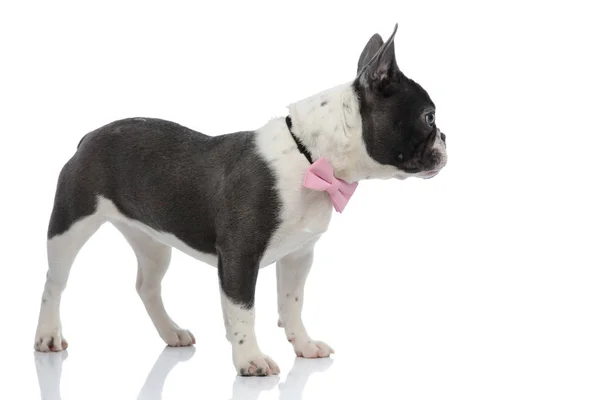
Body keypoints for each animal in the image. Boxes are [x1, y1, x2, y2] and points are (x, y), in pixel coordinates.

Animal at [32, 24, 446, 376]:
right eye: (428, 117)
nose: (445, 137)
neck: (311, 158)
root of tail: (90, 136)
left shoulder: (299, 255)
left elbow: (292, 303)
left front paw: (303, 345)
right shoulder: (240, 255)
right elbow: (243, 310)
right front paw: (250, 359)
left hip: (152, 242)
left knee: (147, 286)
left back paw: (171, 332)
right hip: (70, 226)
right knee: (55, 282)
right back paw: (48, 335)